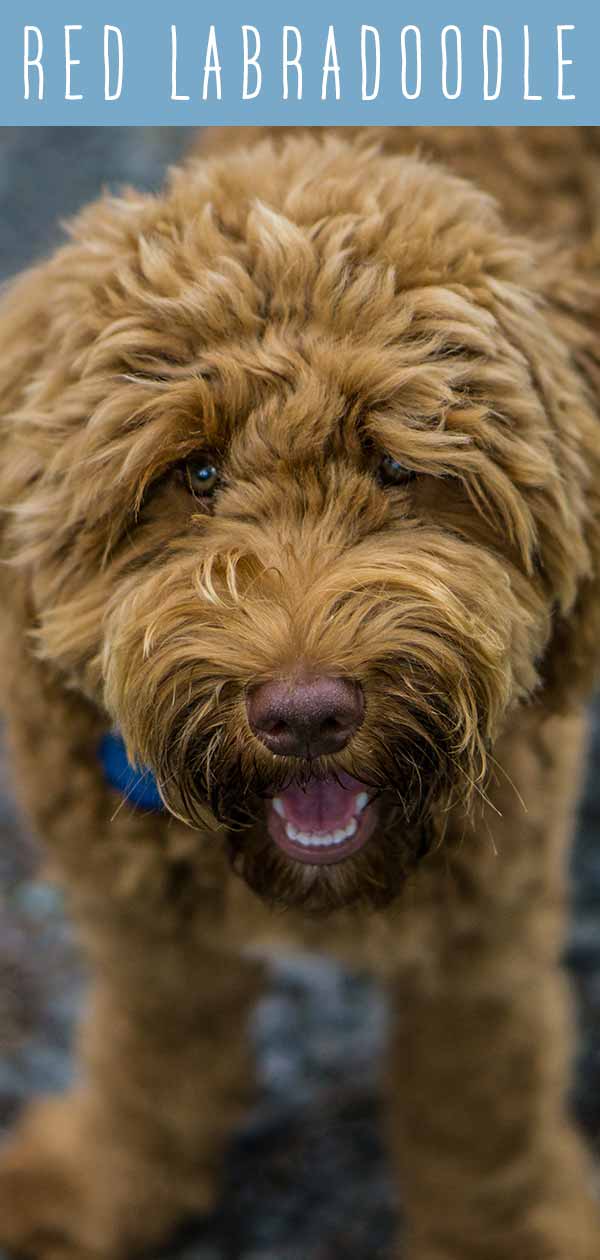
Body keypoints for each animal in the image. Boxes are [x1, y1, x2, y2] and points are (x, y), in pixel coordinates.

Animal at [1, 130, 600, 1260]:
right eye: (193, 473)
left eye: (400, 467)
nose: (309, 713)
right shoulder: (146, 926)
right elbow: (152, 1062)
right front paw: (92, 1191)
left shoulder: (489, 928)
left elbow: (484, 1102)